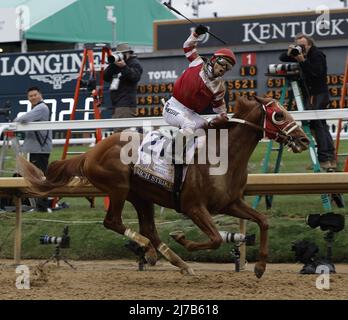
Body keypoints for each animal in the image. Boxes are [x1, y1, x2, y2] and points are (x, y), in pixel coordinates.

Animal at [17, 95, 308, 278]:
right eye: (279, 115)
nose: (303, 140)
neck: (222, 155)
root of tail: (90, 152)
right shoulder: (194, 207)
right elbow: (215, 238)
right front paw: (181, 237)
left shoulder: (231, 203)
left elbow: (263, 221)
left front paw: (260, 267)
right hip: (119, 188)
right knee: (114, 222)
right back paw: (149, 250)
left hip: (141, 196)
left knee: (149, 229)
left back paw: (178, 263)